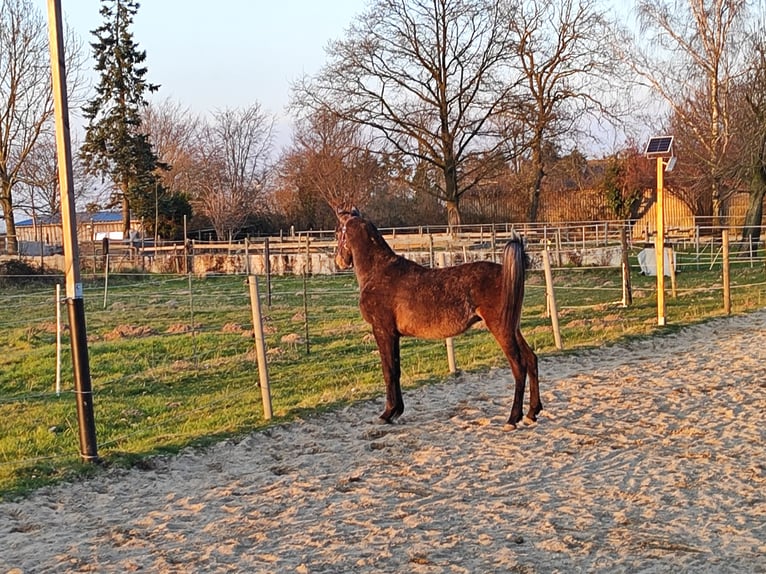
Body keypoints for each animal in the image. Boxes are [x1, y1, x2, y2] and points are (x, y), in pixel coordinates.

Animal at [332, 209, 544, 430]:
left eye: (337, 232)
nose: (338, 261)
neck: (379, 271)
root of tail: (506, 271)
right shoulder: (393, 335)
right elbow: (396, 370)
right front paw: (396, 411)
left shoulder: (383, 331)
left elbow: (388, 370)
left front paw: (387, 413)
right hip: (513, 327)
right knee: (531, 359)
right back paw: (532, 413)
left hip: (501, 329)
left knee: (519, 366)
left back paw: (512, 418)